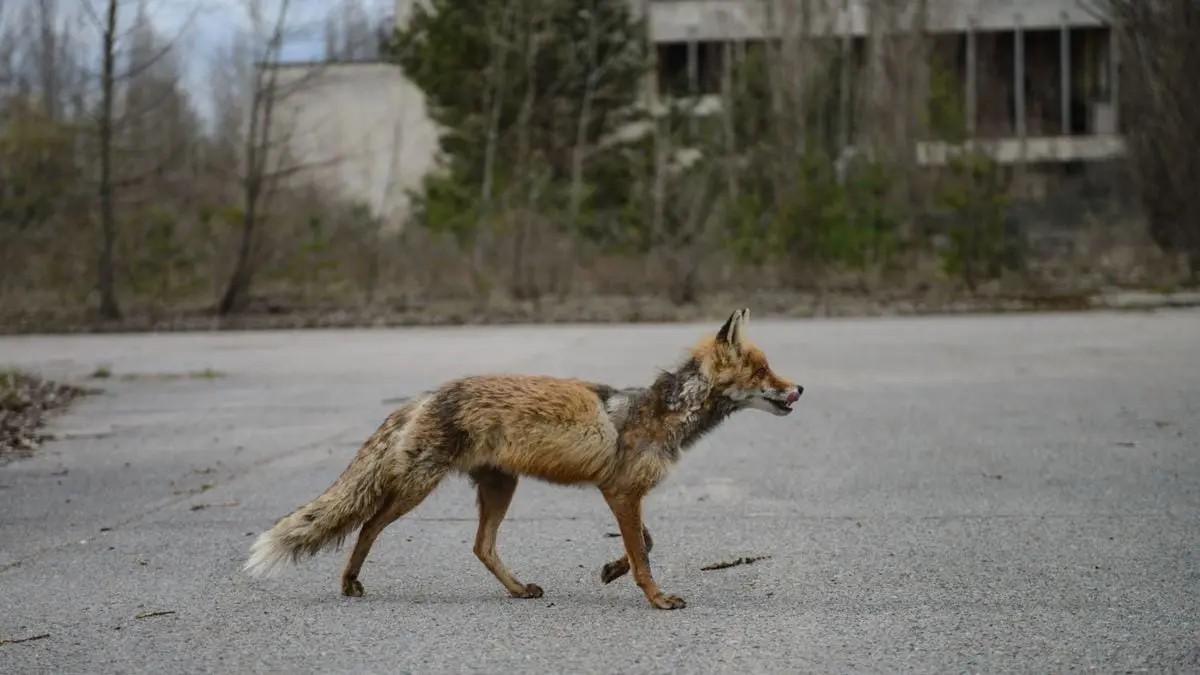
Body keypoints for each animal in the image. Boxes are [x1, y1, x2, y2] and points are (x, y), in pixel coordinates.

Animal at [241, 307, 806, 607]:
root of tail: (428, 394)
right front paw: (656, 598)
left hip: (500, 488)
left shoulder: (623, 494)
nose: (799, 388)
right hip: (418, 488)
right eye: (762, 371)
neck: (659, 414)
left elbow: (644, 542)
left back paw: (517, 590)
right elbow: (645, 553)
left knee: (481, 547)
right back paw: (350, 581)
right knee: (367, 526)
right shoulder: (621, 492)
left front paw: (610, 570)